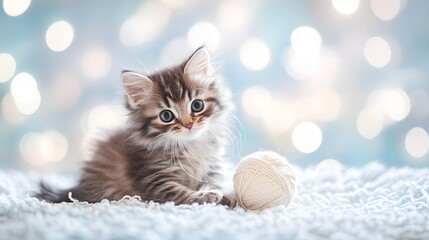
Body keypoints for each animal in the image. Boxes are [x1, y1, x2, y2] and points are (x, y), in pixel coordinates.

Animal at [35, 47, 237, 208]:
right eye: (166, 116)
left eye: (196, 105)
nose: (188, 124)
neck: (192, 147)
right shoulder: (153, 178)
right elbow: (179, 192)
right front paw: (206, 196)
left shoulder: (212, 168)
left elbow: (213, 182)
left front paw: (225, 195)